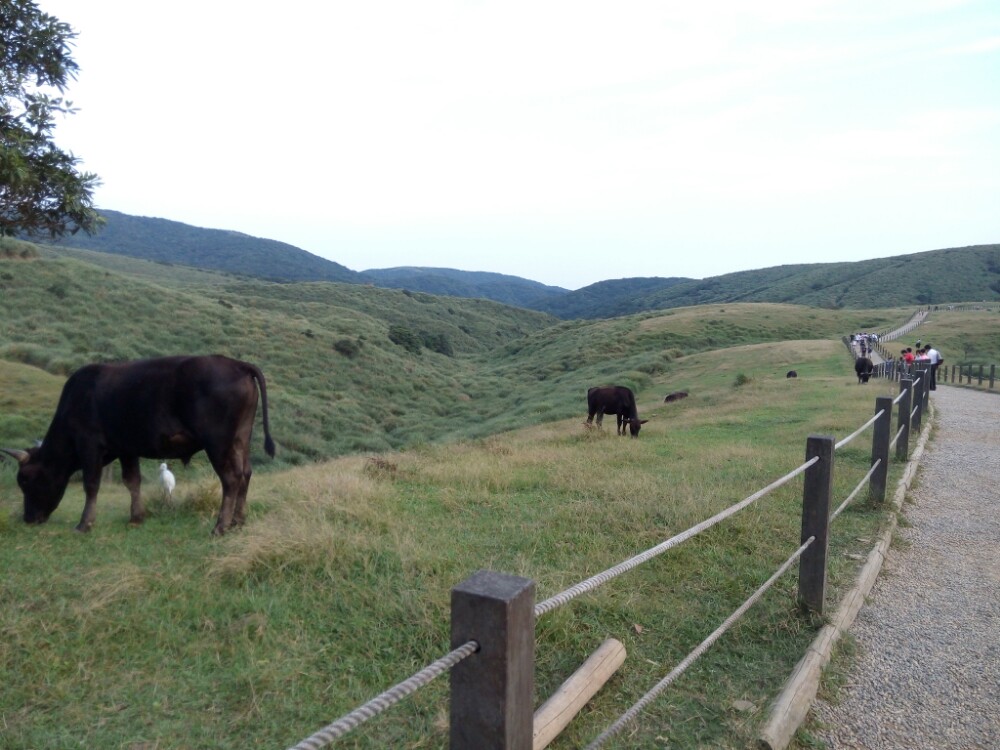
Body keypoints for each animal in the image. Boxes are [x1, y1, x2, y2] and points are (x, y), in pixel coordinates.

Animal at [1, 356, 276, 536]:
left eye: (25, 480)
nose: (28, 518)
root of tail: (236, 364)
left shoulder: (89, 445)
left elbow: (91, 485)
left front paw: (84, 523)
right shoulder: (126, 449)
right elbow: (132, 482)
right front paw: (136, 517)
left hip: (218, 443)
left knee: (231, 479)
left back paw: (220, 526)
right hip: (240, 440)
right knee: (245, 474)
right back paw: (238, 521)